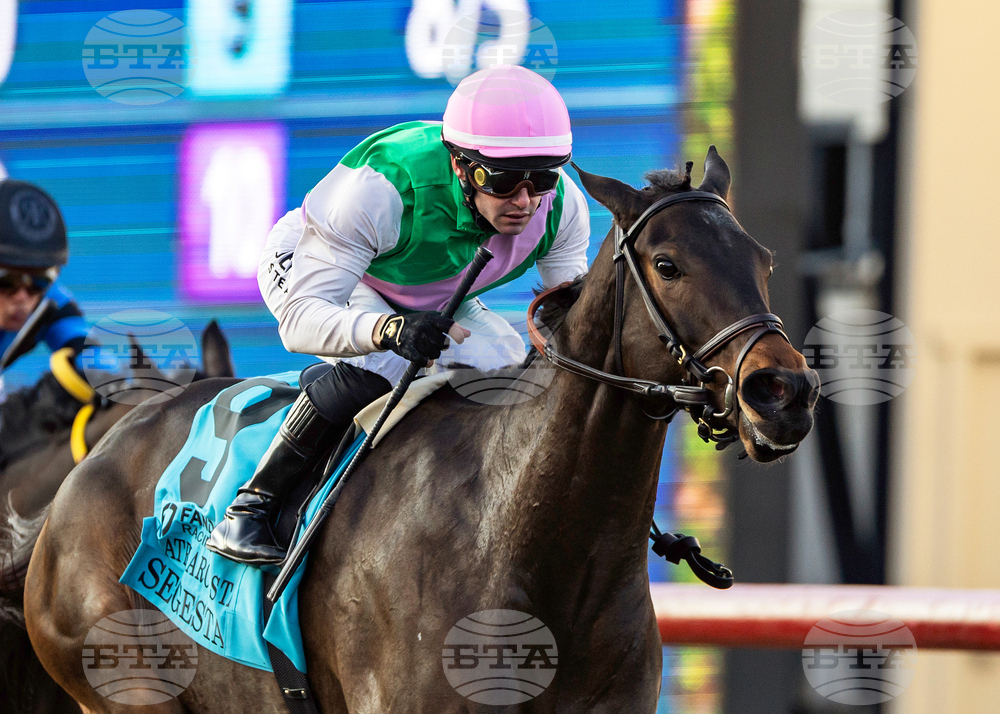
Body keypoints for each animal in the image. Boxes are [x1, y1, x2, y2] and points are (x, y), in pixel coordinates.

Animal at [23, 148, 819, 713]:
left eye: (764, 260)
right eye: (667, 263)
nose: (783, 391)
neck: (531, 538)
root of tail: (86, 471)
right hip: (125, 682)